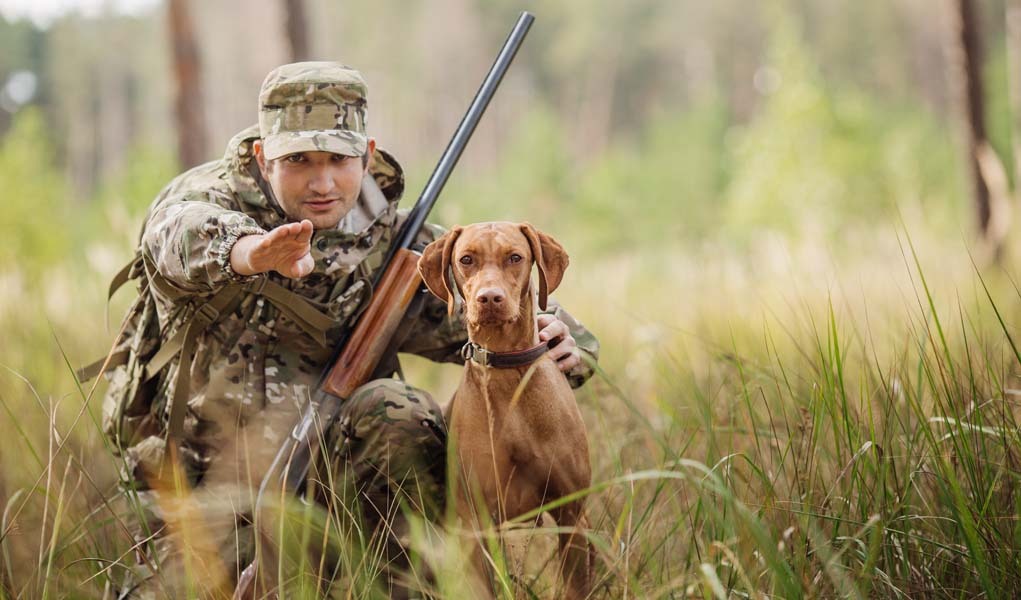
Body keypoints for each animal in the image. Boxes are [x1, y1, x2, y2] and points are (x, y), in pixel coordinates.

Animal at [416, 221, 592, 600]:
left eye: (515, 257)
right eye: (466, 259)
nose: (489, 298)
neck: (508, 375)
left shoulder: (572, 516)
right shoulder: (475, 525)